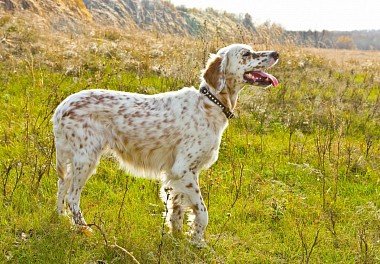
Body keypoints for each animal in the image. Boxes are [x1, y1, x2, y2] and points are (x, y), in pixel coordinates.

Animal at [52, 43, 280, 245]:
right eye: (247, 54)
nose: (276, 53)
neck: (210, 103)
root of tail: (61, 107)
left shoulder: (176, 174)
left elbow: (176, 211)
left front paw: (177, 239)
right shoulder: (184, 170)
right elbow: (202, 212)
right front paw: (198, 242)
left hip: (76, 160)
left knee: (62, 185)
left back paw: (61, 218)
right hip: (86, 160)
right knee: (72, 196)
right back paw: (85, 229)